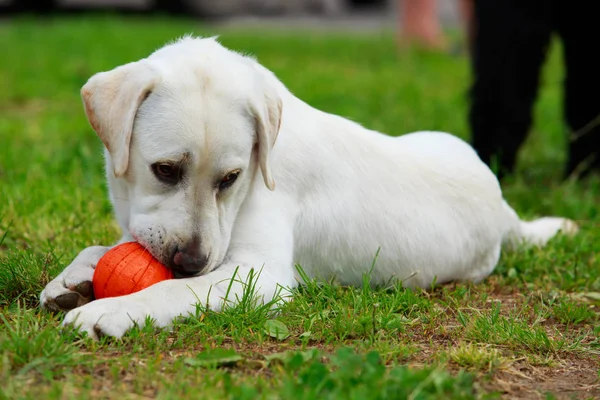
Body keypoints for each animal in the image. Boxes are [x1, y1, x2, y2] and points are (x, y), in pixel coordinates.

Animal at [39, 36, 580, 340]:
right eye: (165, 170)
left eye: (231, 179)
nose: (192, 261)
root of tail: (503, 207)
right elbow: (105, 248)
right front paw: (74, 277)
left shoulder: (258, 275)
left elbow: (172, 290)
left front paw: (112, 310)